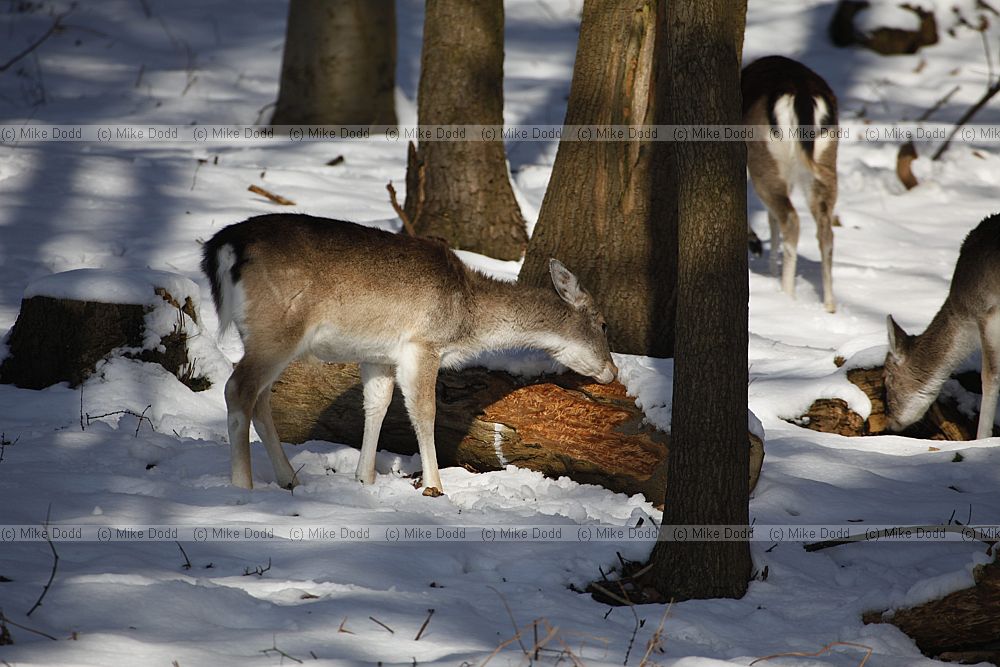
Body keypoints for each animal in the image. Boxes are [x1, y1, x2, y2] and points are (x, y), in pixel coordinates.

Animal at [201, 214, 618, 492]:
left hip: (260, 334)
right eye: (603, 324)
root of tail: (222, 247)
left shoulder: (378, 355)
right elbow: (424, 411)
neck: (465, 319)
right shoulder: (422, 344)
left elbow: (378, 404)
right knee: (237, 389)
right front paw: (434, 486)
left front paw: (364, 477)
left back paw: (289, 478)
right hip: (276, 328)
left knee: (260, 398)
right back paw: (242, 486)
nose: (613, 372)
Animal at [742, 55, 839, 313]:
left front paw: (756, 246)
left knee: (790, 217)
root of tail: (802, 93)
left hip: (764, 157)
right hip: (826, 156)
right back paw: (829, 305)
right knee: (825, 229)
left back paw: (787, 294)